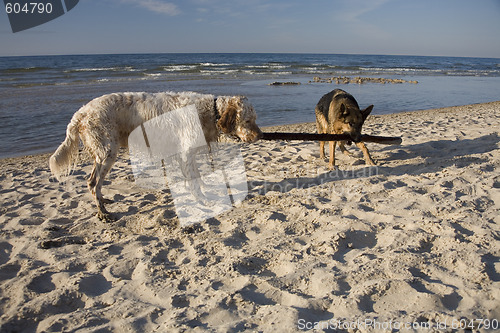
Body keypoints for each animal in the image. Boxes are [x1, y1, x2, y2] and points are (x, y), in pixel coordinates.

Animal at [48, 91, 264, 220]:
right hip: (108, 152)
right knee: (93, 182)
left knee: (95, 183)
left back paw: (104, 201)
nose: (261, 135)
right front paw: (203, 200)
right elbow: (194, 181)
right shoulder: (186, 153)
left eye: (255, 119)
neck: (210, 112)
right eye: (247, 120)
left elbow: (196, 177)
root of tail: (80, 113)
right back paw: (103, 213)